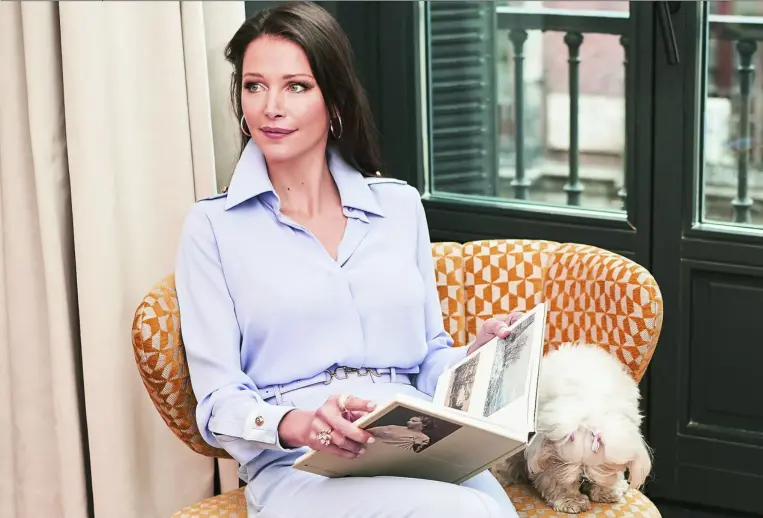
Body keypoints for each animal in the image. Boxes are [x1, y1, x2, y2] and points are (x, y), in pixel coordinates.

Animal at [496, 344, 652, 512]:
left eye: (601, 465)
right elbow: (556, 477)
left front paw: (608, 491)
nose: (583, 478)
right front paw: (571, 501)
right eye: (568, 463)